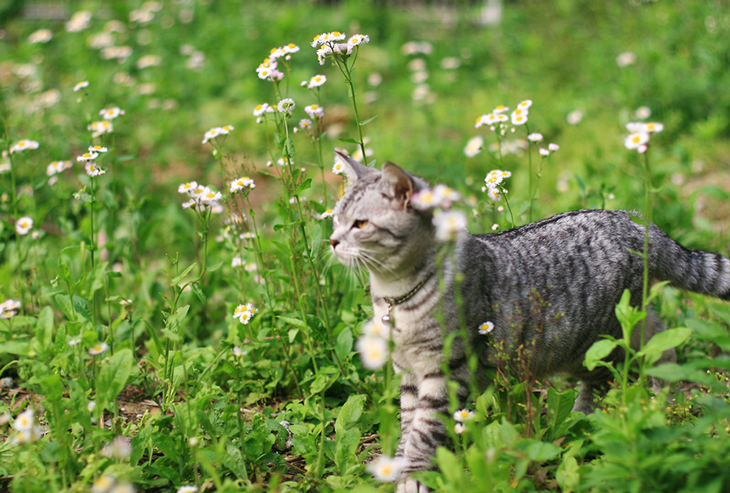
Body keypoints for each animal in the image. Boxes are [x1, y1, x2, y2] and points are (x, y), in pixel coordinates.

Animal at [328, 152, 728, 490]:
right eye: (335, 219)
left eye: (360, 224)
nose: (331, 241)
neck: (394, 296)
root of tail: (631, 219)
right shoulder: (409, 373)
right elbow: (408, 423)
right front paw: (396, 467)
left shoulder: (445, 370)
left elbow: (425, 431)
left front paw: (414, 475)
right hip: (631, 319)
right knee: (663, 342)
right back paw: (666, 399)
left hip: (591, 344)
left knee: (602, 380)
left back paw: (585, 418)